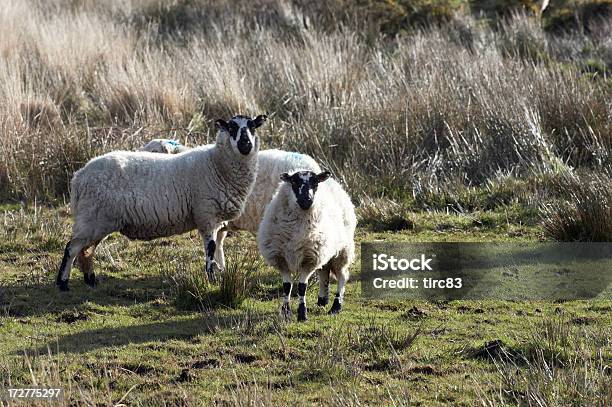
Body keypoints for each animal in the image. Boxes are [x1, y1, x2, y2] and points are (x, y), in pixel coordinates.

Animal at [57, 115, 266, 294]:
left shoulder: (215, 220)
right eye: (231, 127)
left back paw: (90, 279)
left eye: (252, 126)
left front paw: (216, 274)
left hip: (97, 220)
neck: (216, 163)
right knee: (72, 248)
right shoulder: (206, 215)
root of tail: (79, 177)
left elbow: (215, 250)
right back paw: (63, 283)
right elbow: (211, 249)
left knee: (86, 250)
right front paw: (211, 279)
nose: (245, 144)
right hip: (93, 217)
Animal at [256, 169, 356, 322]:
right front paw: (286, 312)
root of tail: (334, 183)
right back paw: (322, 300)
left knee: (342, 276)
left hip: (342, 250)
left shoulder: (309, 259)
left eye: (315, 182)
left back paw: (336, 306)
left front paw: (302, 314)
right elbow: (287, 286)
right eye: (294, 181)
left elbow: (302, 287)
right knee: (324, 272)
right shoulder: (282, 259)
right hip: (324, 249)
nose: (306, 200)